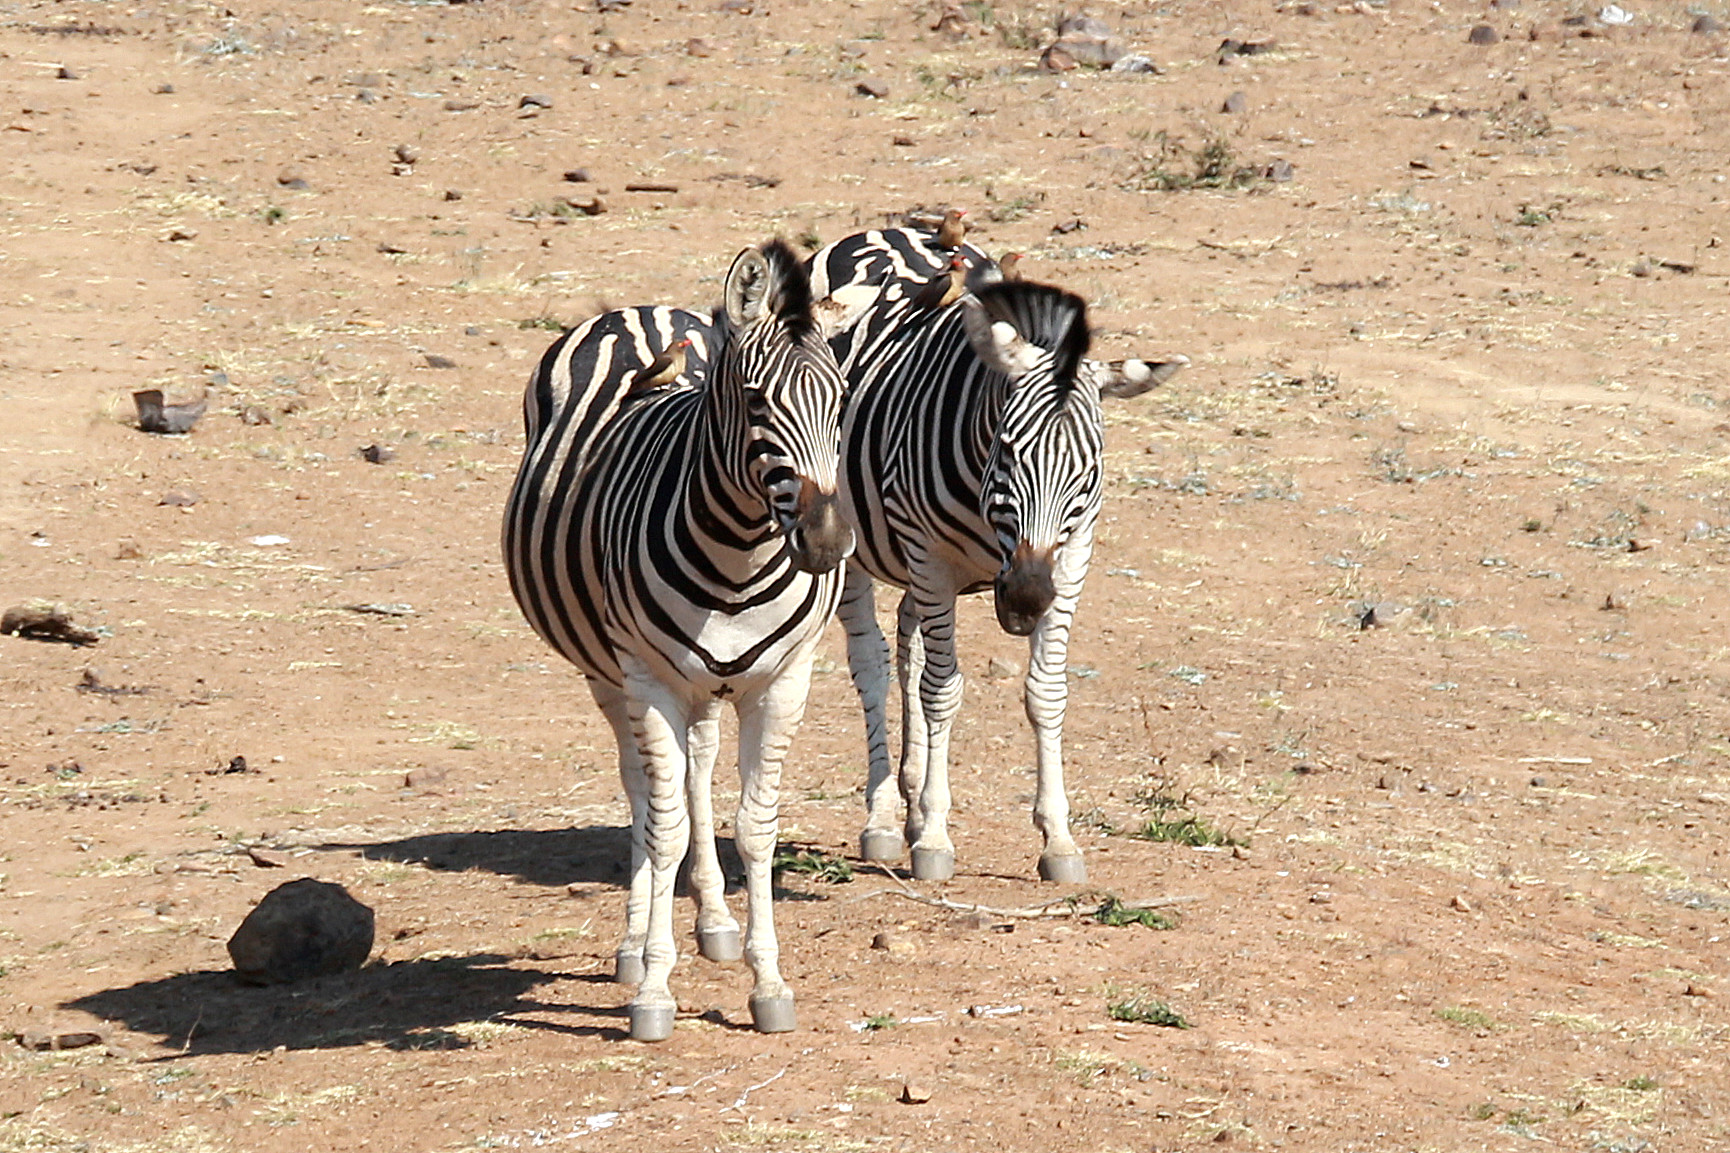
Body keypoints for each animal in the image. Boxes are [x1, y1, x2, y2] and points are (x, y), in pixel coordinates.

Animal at [501, 237, 851, 1038]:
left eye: (844, 399)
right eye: (756, 402)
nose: (826, 543)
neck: (738, 556)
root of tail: (640, 312)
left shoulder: (781, 681)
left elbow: (754, 827)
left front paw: (767, 980)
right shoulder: (649, 678)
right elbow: (661, 828)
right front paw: (655, 989)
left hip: (706, 684)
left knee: (696, 768)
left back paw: (714, 919)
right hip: (609, 672)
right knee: (643, 788)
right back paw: (637, 944)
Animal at [809, 225, 1190, 879]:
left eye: (1089, 468)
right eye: (1007, 450)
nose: (1028, 599)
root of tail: (886, 230)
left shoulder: (1071, 557)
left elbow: (1045, 693)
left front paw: (1058, 839)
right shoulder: (932, 560)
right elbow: (942, 693)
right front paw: (936, 837)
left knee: (908, 647)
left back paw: (910, 804)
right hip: (855, 546)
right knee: (874, 666)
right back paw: (885, 819)